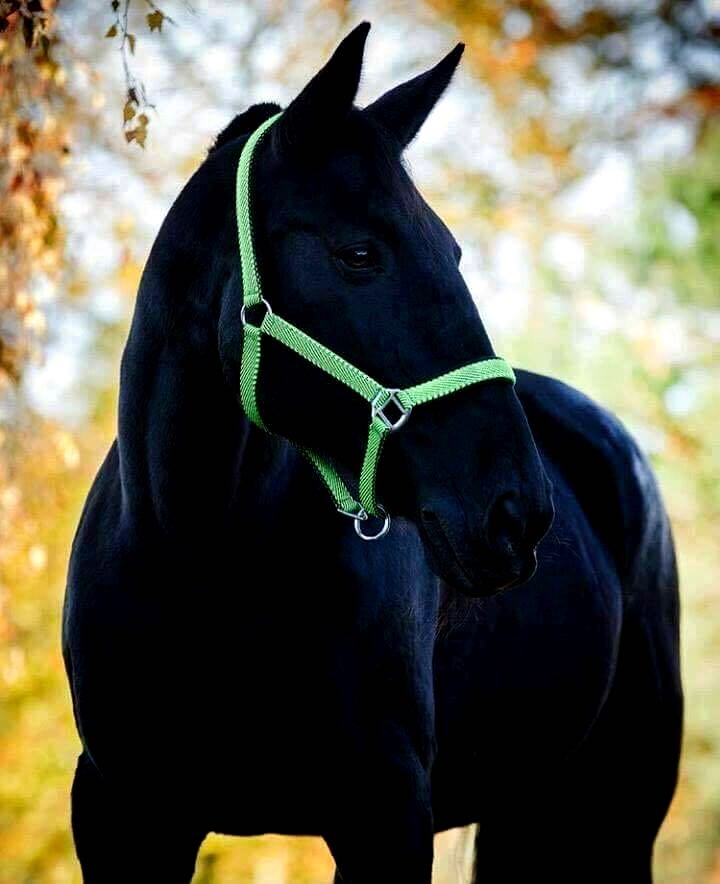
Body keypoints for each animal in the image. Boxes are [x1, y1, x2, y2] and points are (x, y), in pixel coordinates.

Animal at [63, 23, 682, 883]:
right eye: (358, 253)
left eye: (453, 253)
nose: (517, 510)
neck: (203, 565)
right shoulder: (125, 813)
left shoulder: (385, 815)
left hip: (620, 805)